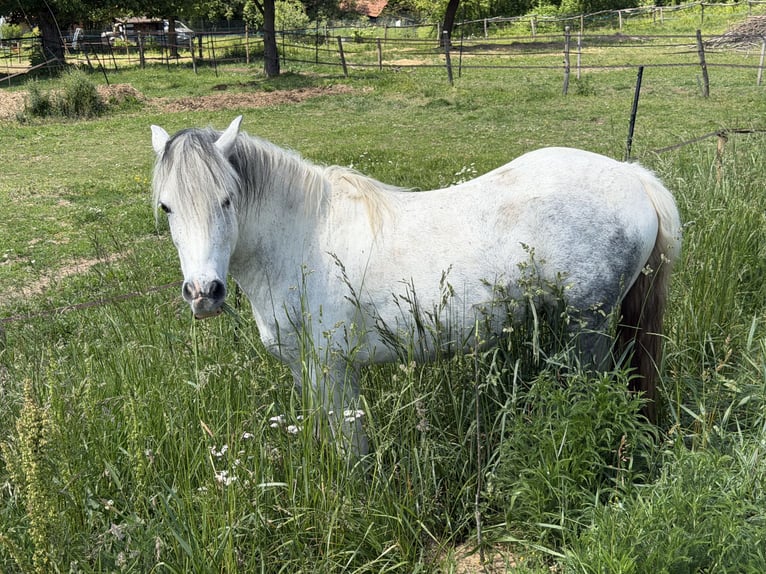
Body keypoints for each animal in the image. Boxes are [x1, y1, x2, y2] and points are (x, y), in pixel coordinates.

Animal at [150, 115, 681, 456]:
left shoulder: (334, 369)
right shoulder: (306, 370)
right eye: (167, 207)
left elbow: (352, 450)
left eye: (227, 200)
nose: (204, 293)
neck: (302, 236)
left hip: (587, 327)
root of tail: (633, 177)